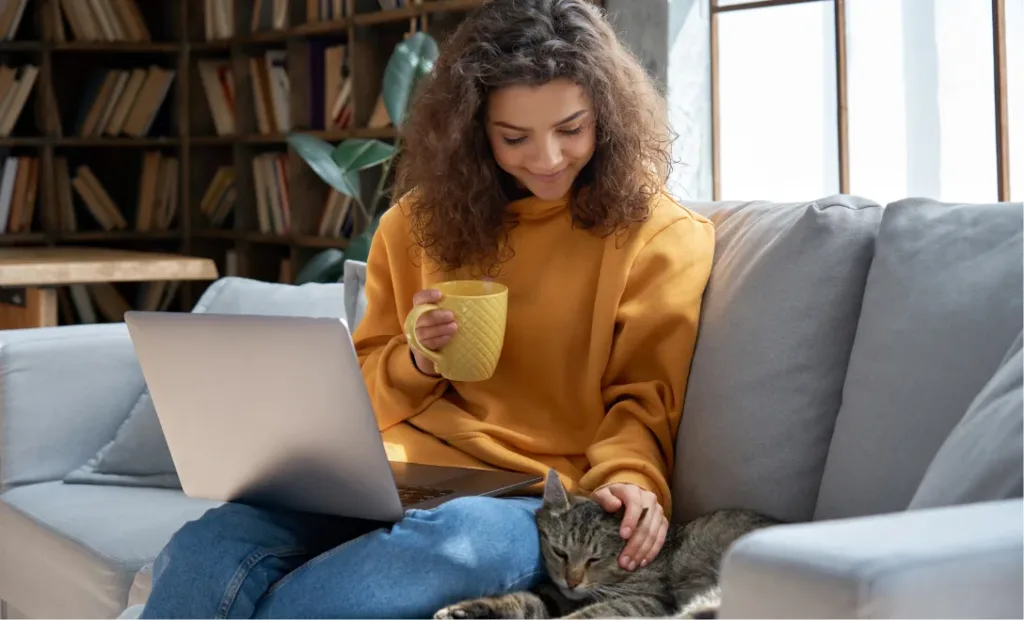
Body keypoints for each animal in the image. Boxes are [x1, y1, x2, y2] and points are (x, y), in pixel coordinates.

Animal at [436, 471, 778, 614]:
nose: (572, 581)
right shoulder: (557, 597)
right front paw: (467, 609)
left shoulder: (646, 601)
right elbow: (524, 600)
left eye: (594, 559)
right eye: (560, 552)